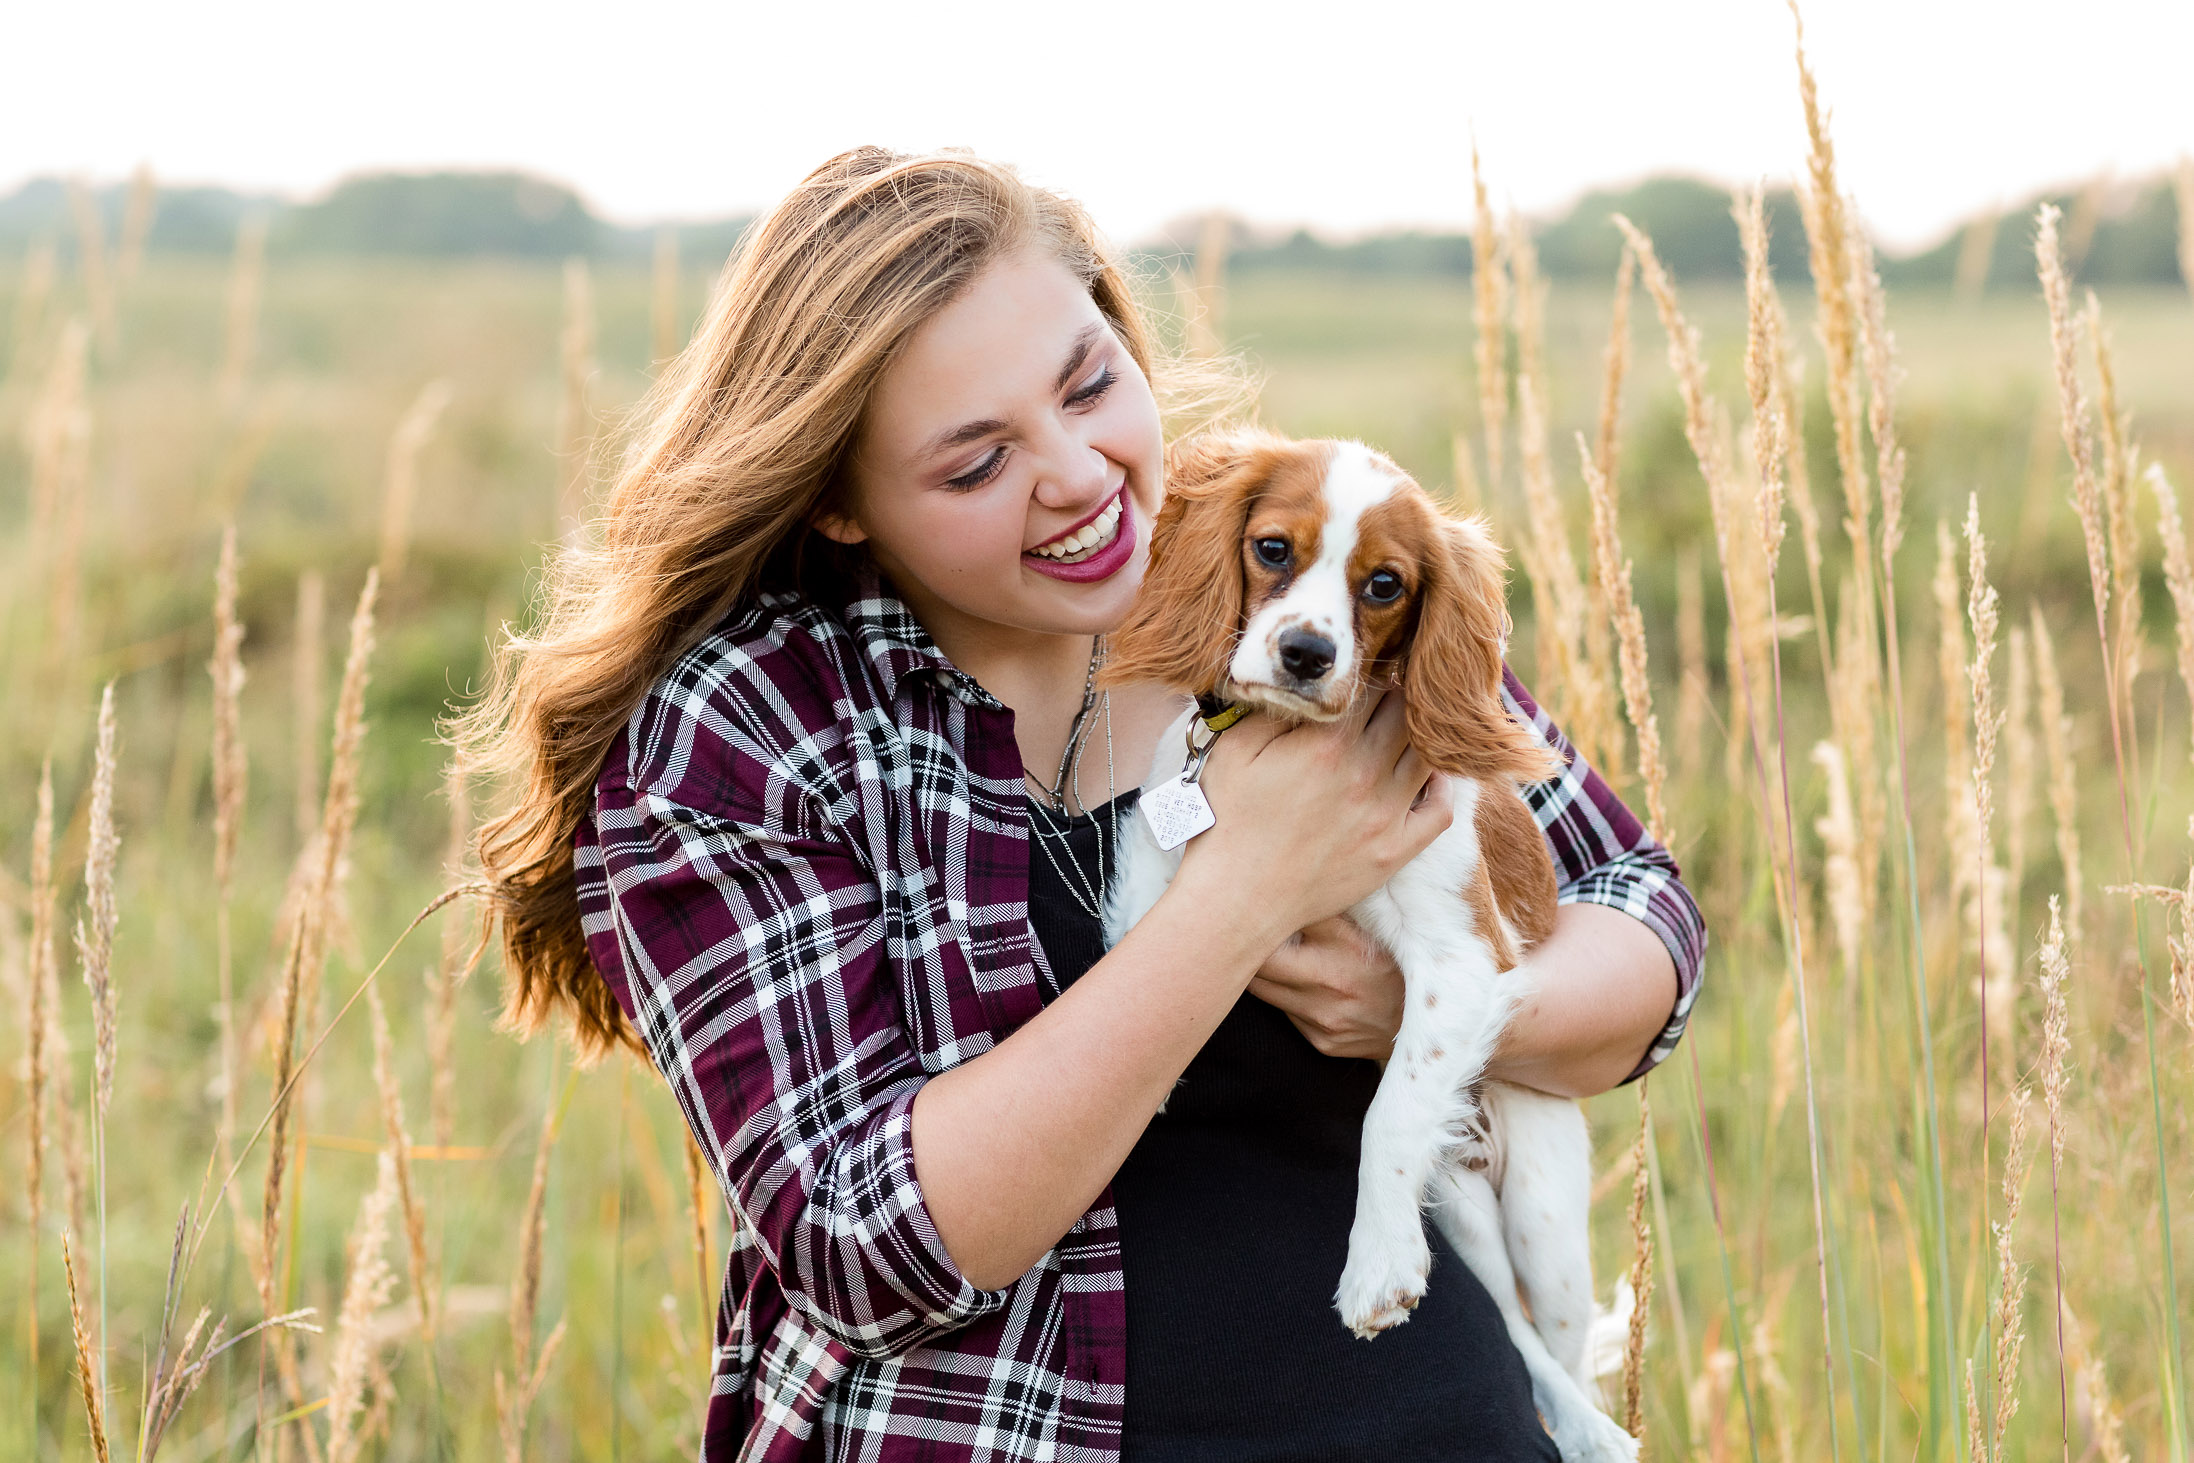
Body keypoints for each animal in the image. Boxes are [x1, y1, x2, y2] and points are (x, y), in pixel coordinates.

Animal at [1105, 429, 1641, 1456]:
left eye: (1385, 584)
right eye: (1273, 549)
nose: (1306, 653)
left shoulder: (1461, 959)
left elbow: (1388, 1113)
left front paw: (1375, 1268)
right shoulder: (1162, 848)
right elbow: (1138, 940)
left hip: (1543, 1214)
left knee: (1549, 1333)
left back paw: (1597, 1432)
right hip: (1461, 1210)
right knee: (1509, 1328)